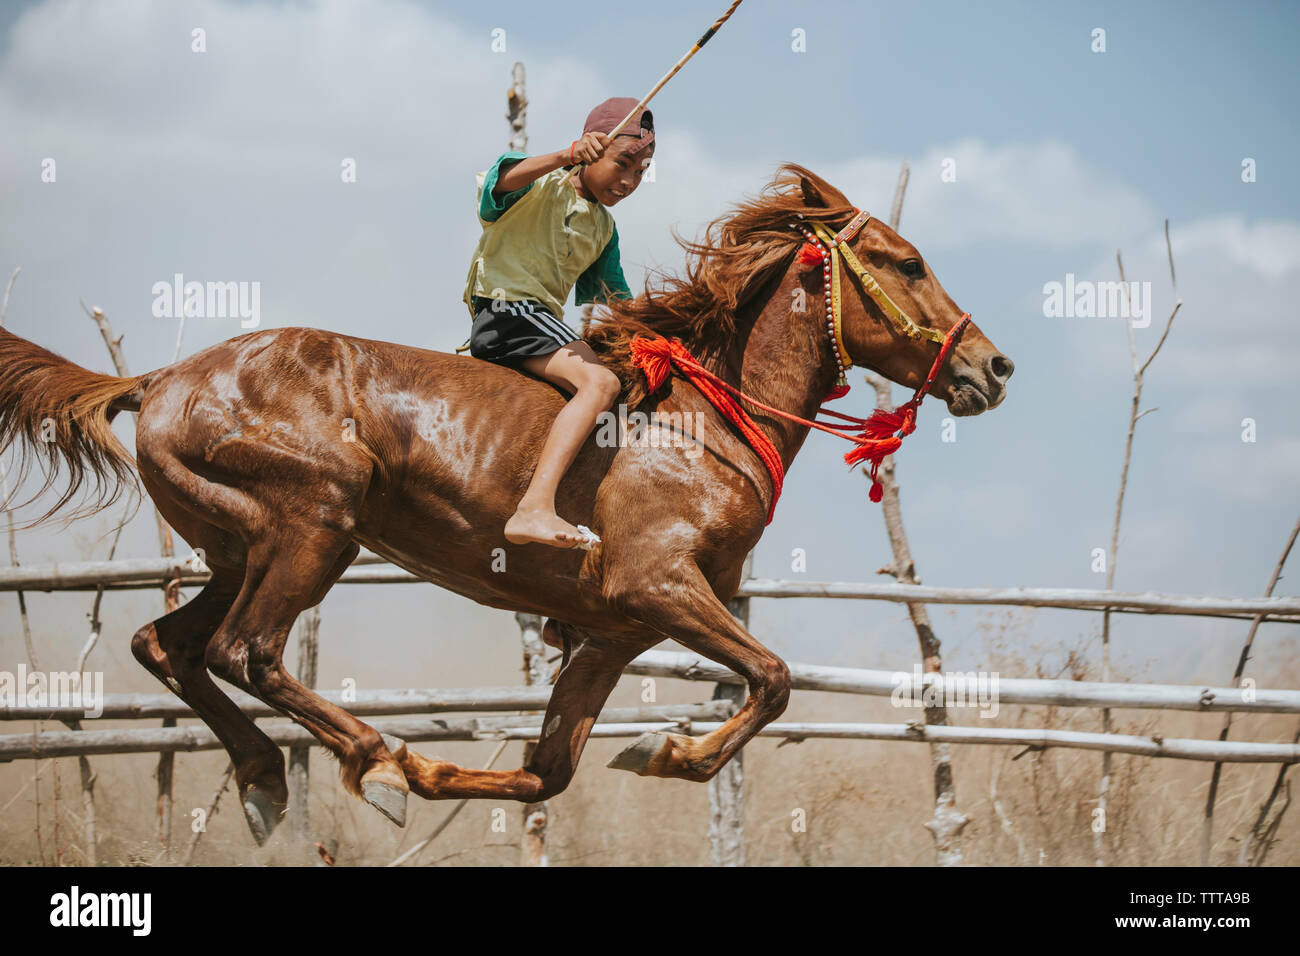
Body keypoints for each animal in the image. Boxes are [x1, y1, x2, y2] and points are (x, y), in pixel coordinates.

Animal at [0, 164, 1013, 845]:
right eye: (907, 262)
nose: (993, 367)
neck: (702, 417)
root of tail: (160, 379)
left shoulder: (611, 633)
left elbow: (547, 773)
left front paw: (457, 765)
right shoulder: (659, 587)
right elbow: (771, 678)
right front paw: (669, 753)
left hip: (240, 547)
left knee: (166, 645)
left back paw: (264, 776)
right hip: (314, 526)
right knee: (242, 650)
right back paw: (374, 759)